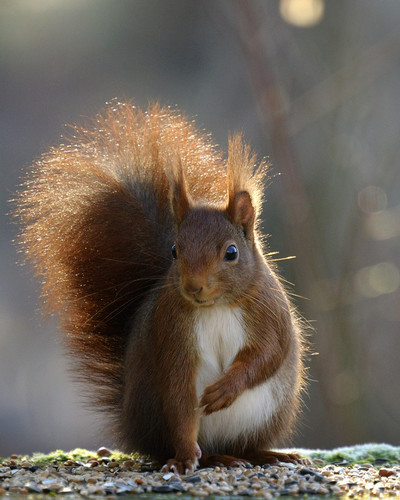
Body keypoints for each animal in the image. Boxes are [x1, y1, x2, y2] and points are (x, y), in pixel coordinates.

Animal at [16, 101, 306, 473]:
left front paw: (225, 390)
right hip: (158, 414)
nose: (193, 287)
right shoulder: (171, 334)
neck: (216, 307)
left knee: (246, 445)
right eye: (174, 251)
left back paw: (267, 454)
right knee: (187, 438)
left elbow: (267, 354)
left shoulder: (269, 312)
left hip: (268, 414)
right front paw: (183, 459)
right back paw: (211, 457)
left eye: (231, 253)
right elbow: (180, 394)